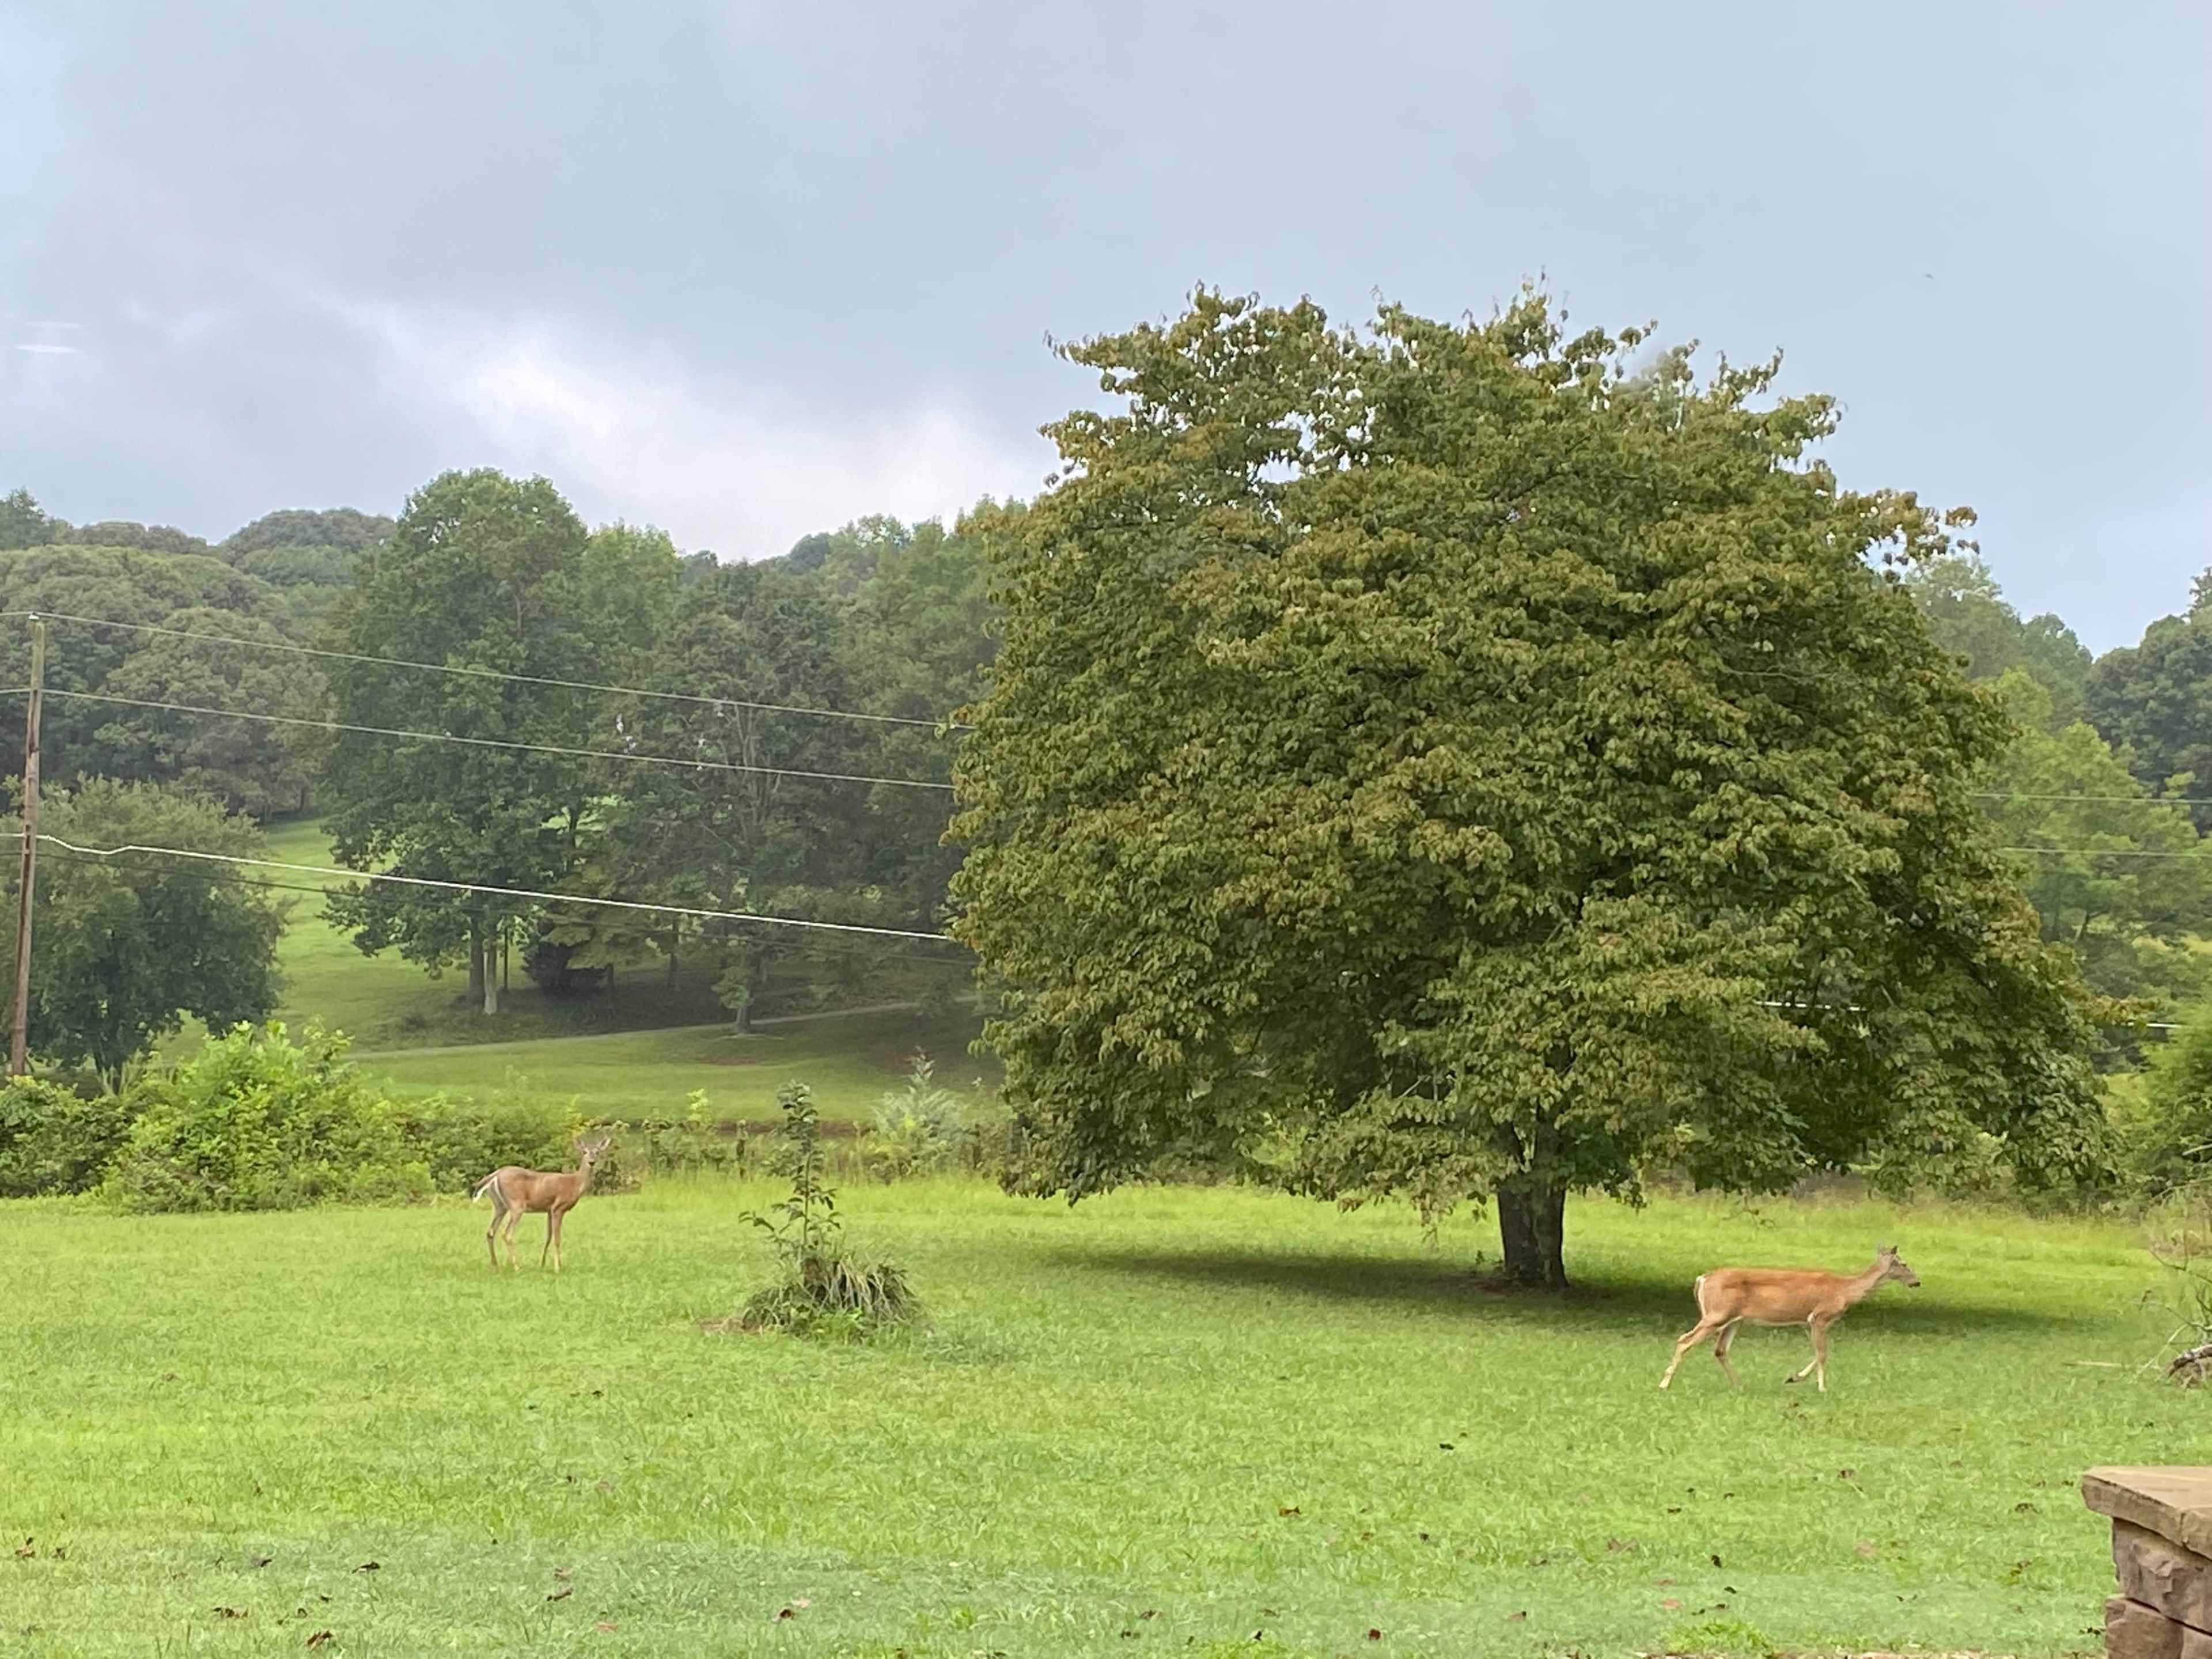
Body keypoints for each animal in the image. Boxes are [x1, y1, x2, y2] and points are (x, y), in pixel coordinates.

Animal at [472, 1136, 611, 1273]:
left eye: (598, 1152)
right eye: (584, 1152)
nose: (592, 1162)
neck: (575, 1183)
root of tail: (496, 1174)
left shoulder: (549, 1210)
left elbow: (548, 1237)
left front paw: (543, 1265)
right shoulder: (558, 1208)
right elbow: (557, 1239)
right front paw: (557, 1268)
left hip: (500, 1206)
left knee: (490, 1232)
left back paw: (495, 1266)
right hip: (517, 1205)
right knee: (507, 1233)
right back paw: (517, 1267)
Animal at [1657, 1244, 1920, 1393]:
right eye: (1904, 1264)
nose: (1917, 1282)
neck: (1846, 1290)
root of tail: (1702, 1278)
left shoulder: (1811, 1322)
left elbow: (1818, 1352)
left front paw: (1794, 1378)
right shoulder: (1820, 1316)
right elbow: (1823, 1353)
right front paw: (1822, 1388)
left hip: (1734, 1319)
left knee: (1719, 1350)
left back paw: (1739, 1386)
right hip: (1717, 1314)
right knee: (1685, 1340)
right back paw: (1664, 1384)